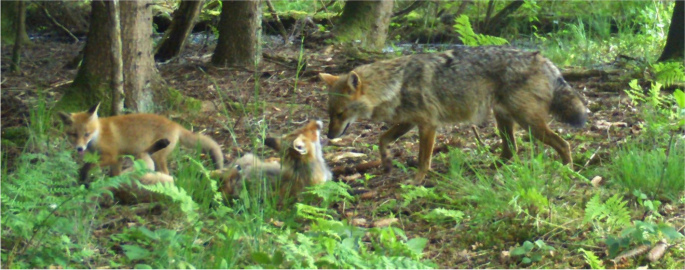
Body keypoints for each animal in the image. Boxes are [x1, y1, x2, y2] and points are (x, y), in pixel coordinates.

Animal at [59, 103, 224, 181]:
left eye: (86, 134)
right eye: (73, 134)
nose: (80, 149)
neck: (98, 134)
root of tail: (175, 125)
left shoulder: (111, 156)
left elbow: (87, 166)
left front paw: (83, 176)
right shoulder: (118, 159)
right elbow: (114, 175)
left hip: (159, 157)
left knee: (165, 172)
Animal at [318, 46, 584, 184]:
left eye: (340, 113)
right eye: (330, 113)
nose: (329, 136)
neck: (395, 84)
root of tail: (542, 58)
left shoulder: (428, 125)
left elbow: (423, 160)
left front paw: (416, 182)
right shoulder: (407, 122)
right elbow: (381, 139)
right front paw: (386, 163)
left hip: (529, 124)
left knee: (563, 144)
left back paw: (567, 172)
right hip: (504, 120)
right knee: (511, 150)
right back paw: (485, 168)